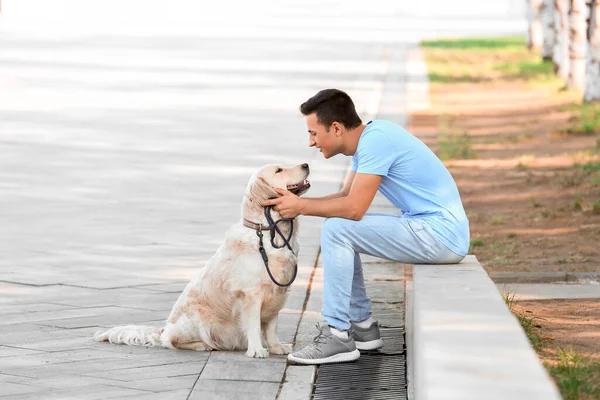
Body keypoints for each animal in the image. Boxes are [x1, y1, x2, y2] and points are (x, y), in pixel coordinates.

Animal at [95, 164, 310, 358]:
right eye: (279, 170)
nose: (306, 164)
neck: (266, 231)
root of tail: (163, 328)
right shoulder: (250, 294)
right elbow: (255, 325)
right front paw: (257, 349)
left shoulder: (277, 292)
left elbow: (272, 326)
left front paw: (276, 347)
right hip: (198, 320)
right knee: (171, 340)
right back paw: (202, 345)